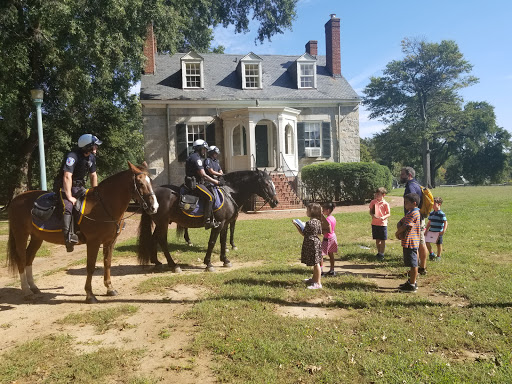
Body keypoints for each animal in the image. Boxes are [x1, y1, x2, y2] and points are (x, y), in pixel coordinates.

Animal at [6, 161, 158, 304]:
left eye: (151, 181)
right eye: (140, 183)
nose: (154, 207)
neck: (103, 206)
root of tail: (15, 199)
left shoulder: (110, 241)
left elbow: (107, 263)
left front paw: (109, 288)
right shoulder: (93, 242)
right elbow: (90, 267)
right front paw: (90, 295)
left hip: (37, 237)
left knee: (29, 258)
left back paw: (33, 287)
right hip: (21, 235)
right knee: (21, 259)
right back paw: (26, 291)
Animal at [136, 170, 278, 272]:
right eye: (266, 184)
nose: (276, 202)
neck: (229, 193)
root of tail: (151, 196)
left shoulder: (225, 224)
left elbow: (222, 241)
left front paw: (225, 260)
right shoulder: (218, 224)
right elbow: (212, 242)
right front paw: (208, 263)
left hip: (160, 223)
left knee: (154, 238)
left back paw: (156, 262)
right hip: (163, 223)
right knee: (162, 241)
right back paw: (173, 265)